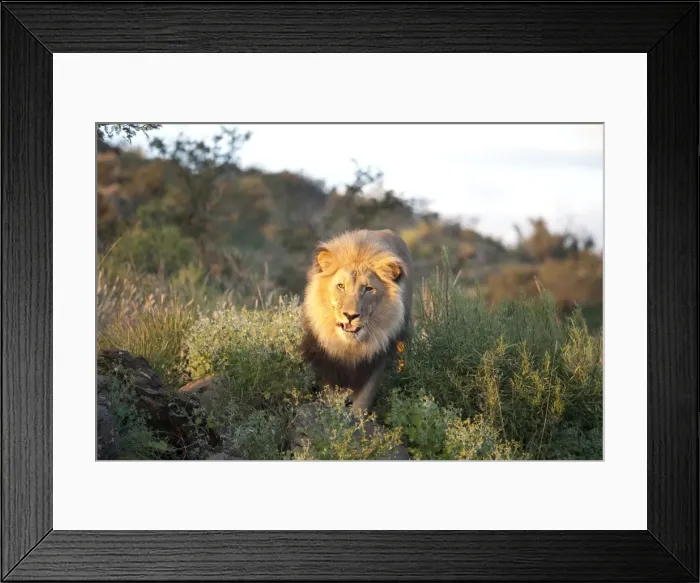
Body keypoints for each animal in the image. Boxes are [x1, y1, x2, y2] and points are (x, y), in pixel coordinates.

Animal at [300, 228, 413, 413]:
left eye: (368, 289)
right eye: (341, 286)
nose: (350, 315)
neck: (349, 346)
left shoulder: (375, 360)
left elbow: (363, 400)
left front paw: (356, 417)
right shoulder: (326, 360)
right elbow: (330, 393)